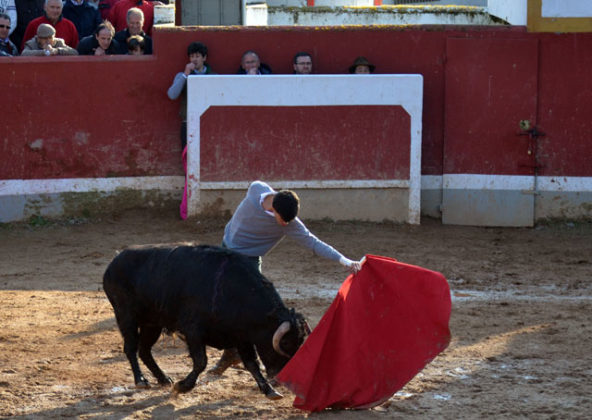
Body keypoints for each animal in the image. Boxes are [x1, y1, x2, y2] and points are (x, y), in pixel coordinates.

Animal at [102, 244, 310, 398]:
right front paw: (183, 386)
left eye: (299, 342)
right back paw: (141, 380)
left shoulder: (242, 337)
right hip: (126, 316)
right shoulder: (193, 331)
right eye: (285, 343)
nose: (283, 378)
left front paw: (269, 390)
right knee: (131, 348)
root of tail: (115, 261)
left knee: (144, 350)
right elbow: (201, 361)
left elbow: (252, 364)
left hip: (152, 323)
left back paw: (163, 378)